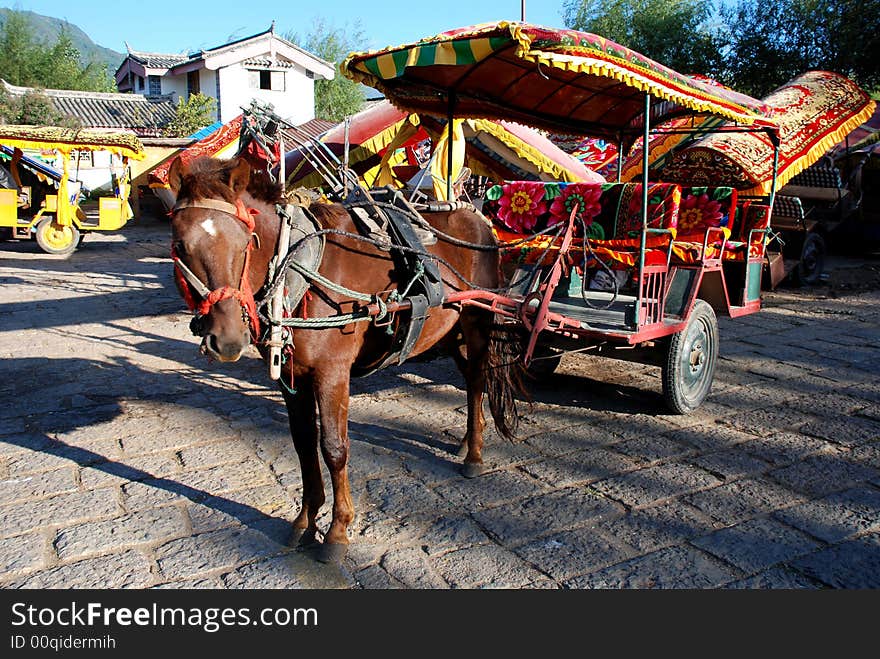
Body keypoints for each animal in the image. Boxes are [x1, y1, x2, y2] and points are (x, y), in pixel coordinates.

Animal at [168, 156, 520, 564]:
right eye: (179, 244)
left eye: (245, 242)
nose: (226, 340)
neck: (299, 269)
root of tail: (477, 217)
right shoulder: (292, 377)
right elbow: (304, 442)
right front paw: (305, 520)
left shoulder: (332, 373)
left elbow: (334, 448)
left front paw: (337, 531)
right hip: (450, 331)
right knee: (468, 381)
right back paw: (465, 441)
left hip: (477, 320)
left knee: (477, 380)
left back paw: (474, 455)